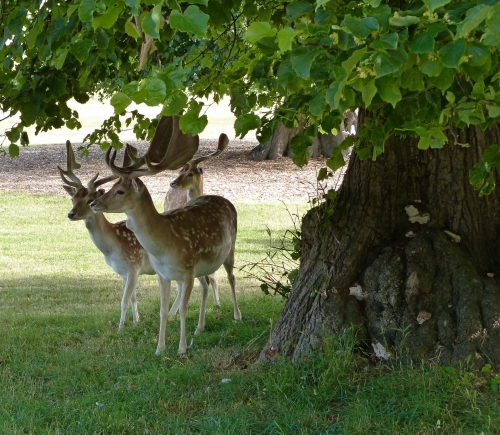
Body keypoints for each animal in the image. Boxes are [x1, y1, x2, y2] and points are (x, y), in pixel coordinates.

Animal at [91, 117, 243, 356]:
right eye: (112, 186)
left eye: (120, 191)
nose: (93, 203)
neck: (164, 244)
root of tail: (225, 199)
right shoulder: (163, 274)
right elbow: (163, 310)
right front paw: (160, 348)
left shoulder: (188, 270)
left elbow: (183, 308)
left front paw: (181, 349)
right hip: (204, 265)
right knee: (206, 284)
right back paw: (200, 327)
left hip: (231, 247)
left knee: (231, 277)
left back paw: (237, 316)